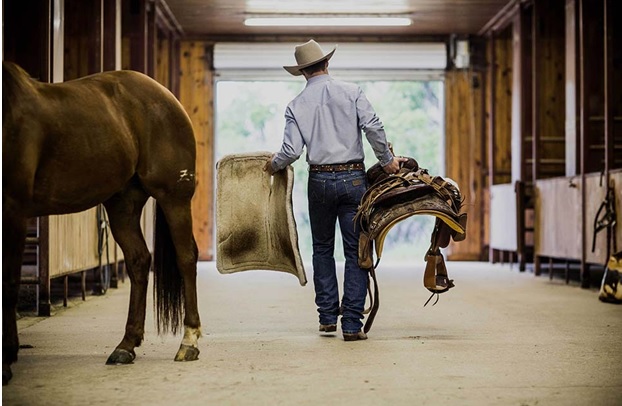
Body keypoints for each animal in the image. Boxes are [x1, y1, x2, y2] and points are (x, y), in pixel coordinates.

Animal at [3, 61, 202, 386]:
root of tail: (166, 96)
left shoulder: (14, 210)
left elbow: (8, 281)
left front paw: (7, 361)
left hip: (173, 197)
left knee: (186, 258)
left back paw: (189, 341)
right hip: (122, 205)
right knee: (138, 261)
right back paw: (126, 346)